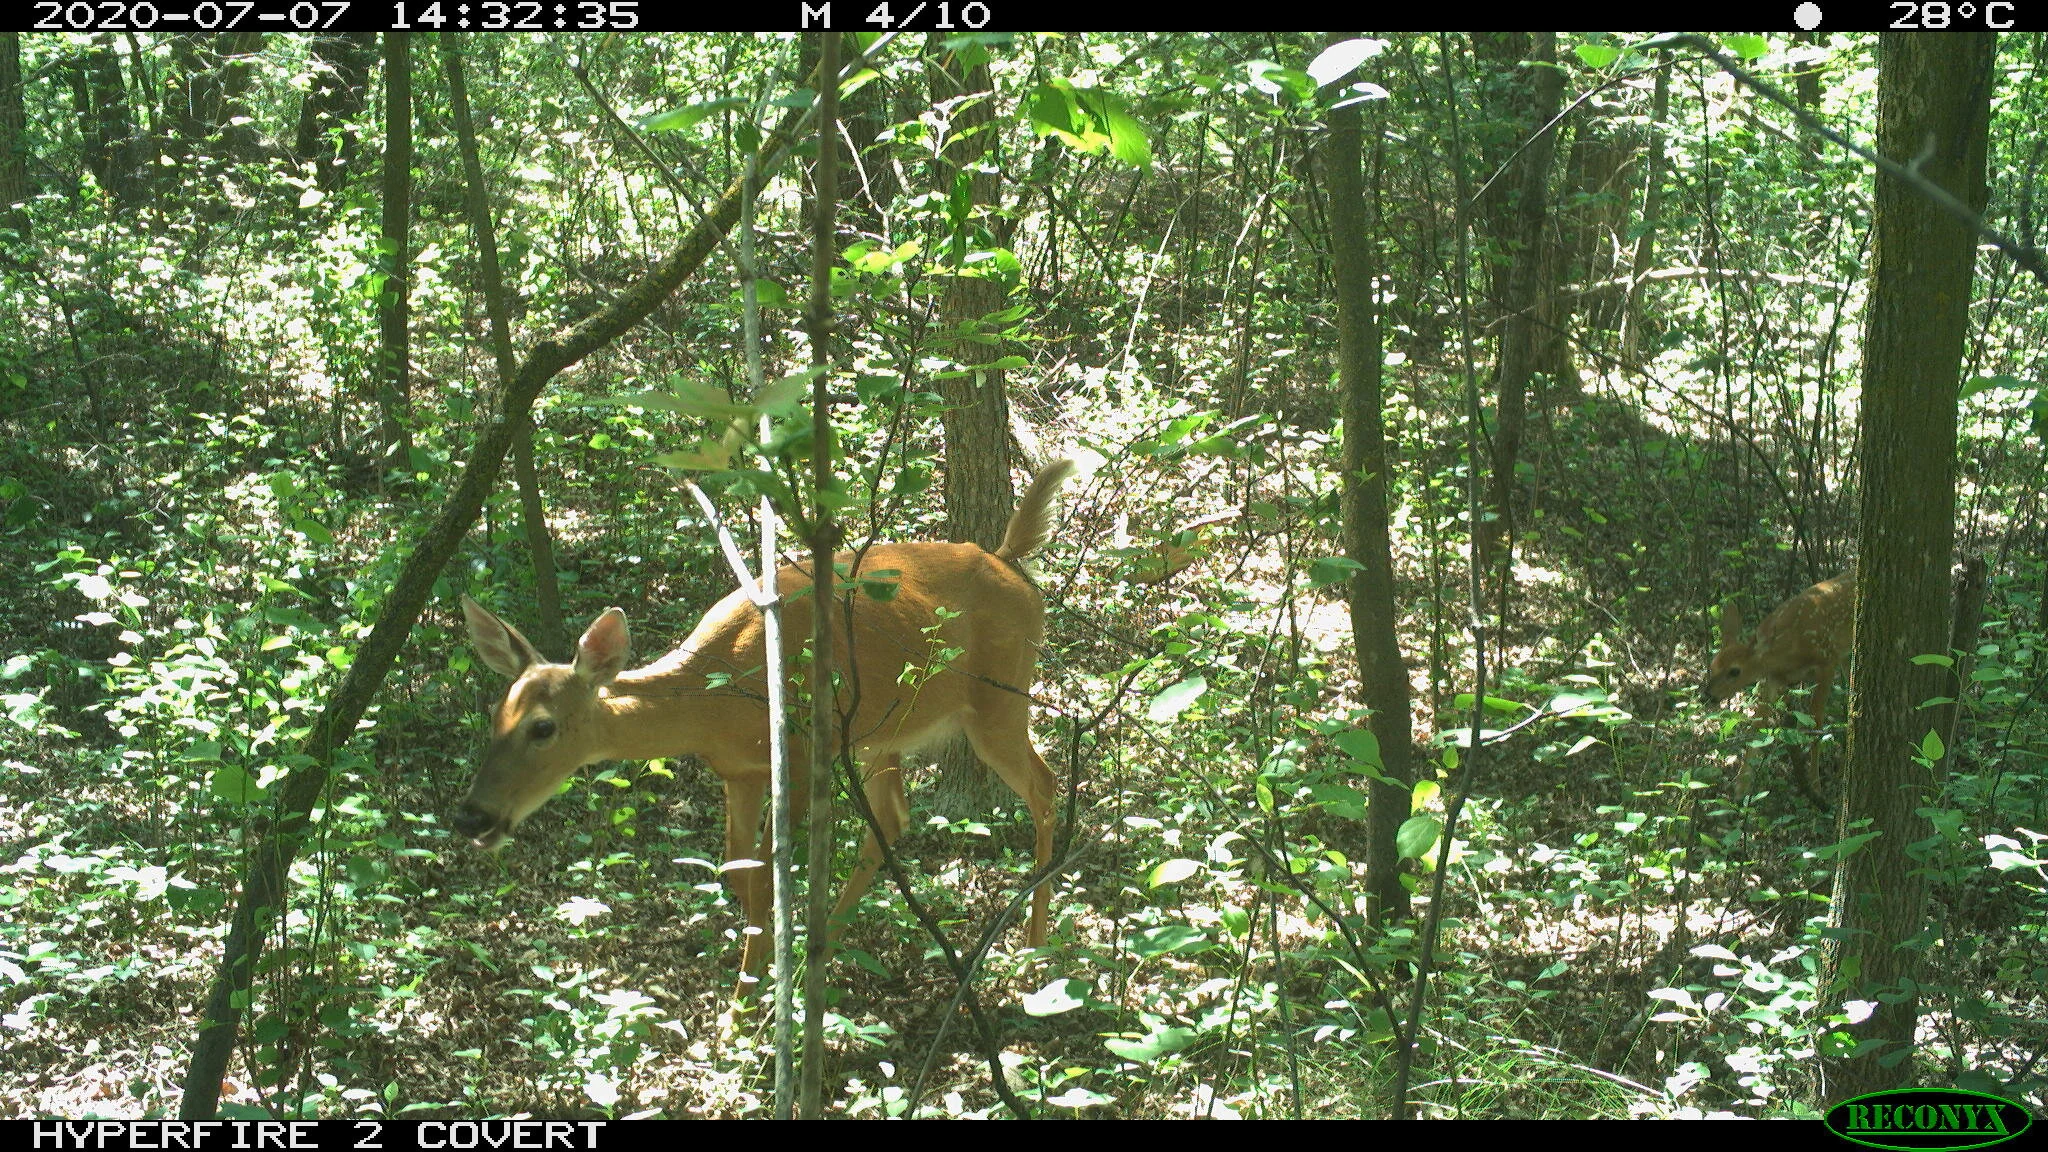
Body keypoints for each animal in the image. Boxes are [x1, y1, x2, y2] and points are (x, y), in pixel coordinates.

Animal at [454, 459, 1077, 983]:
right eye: (494, 714)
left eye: (542, 727)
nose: (471, 815)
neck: (710, 702)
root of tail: (1010, 562)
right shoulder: (738, 771)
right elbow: (739, 869)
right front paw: (763, 978)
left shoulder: (796, 756)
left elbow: (767, 875)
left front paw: (747, 1004)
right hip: (883, 734)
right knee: (895, 816)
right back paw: (828, 949)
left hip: (999, 700)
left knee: (1044, 786)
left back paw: (1033, 945)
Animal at [1702, 565, 1857, 803]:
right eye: (1713, 665)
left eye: (1735, 671)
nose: (1708, 695)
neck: (1789, 650)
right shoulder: (1775, 678)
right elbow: (1759, 723)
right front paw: (1741, 789)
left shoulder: (1827, 660)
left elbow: (1816, 722)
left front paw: (1816, 787)